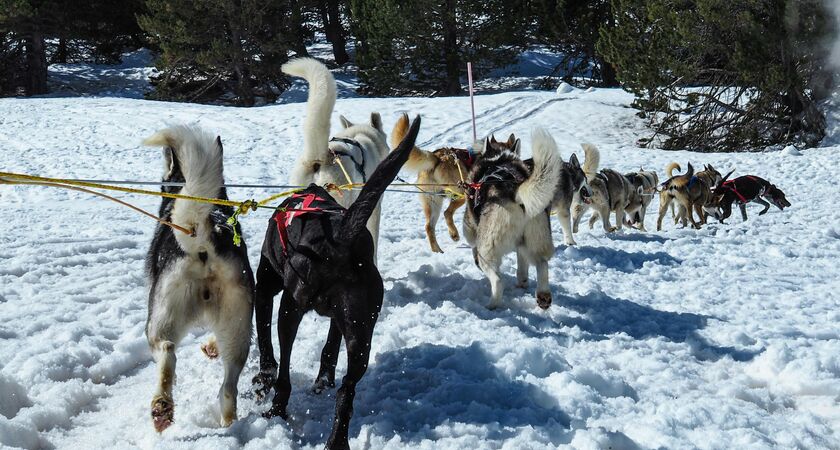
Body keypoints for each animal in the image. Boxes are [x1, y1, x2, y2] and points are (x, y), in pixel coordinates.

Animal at [249, 115, 420, 446]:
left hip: (289, 309)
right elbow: (330, 346)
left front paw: (262, 380)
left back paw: (276, 410)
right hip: (361, 331)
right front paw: (324, 377)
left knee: (285, 372)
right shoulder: (342, 320)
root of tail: (341, 236)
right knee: (347, 391)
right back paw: (337, 439)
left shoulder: (264, 288)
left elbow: (265, 347)